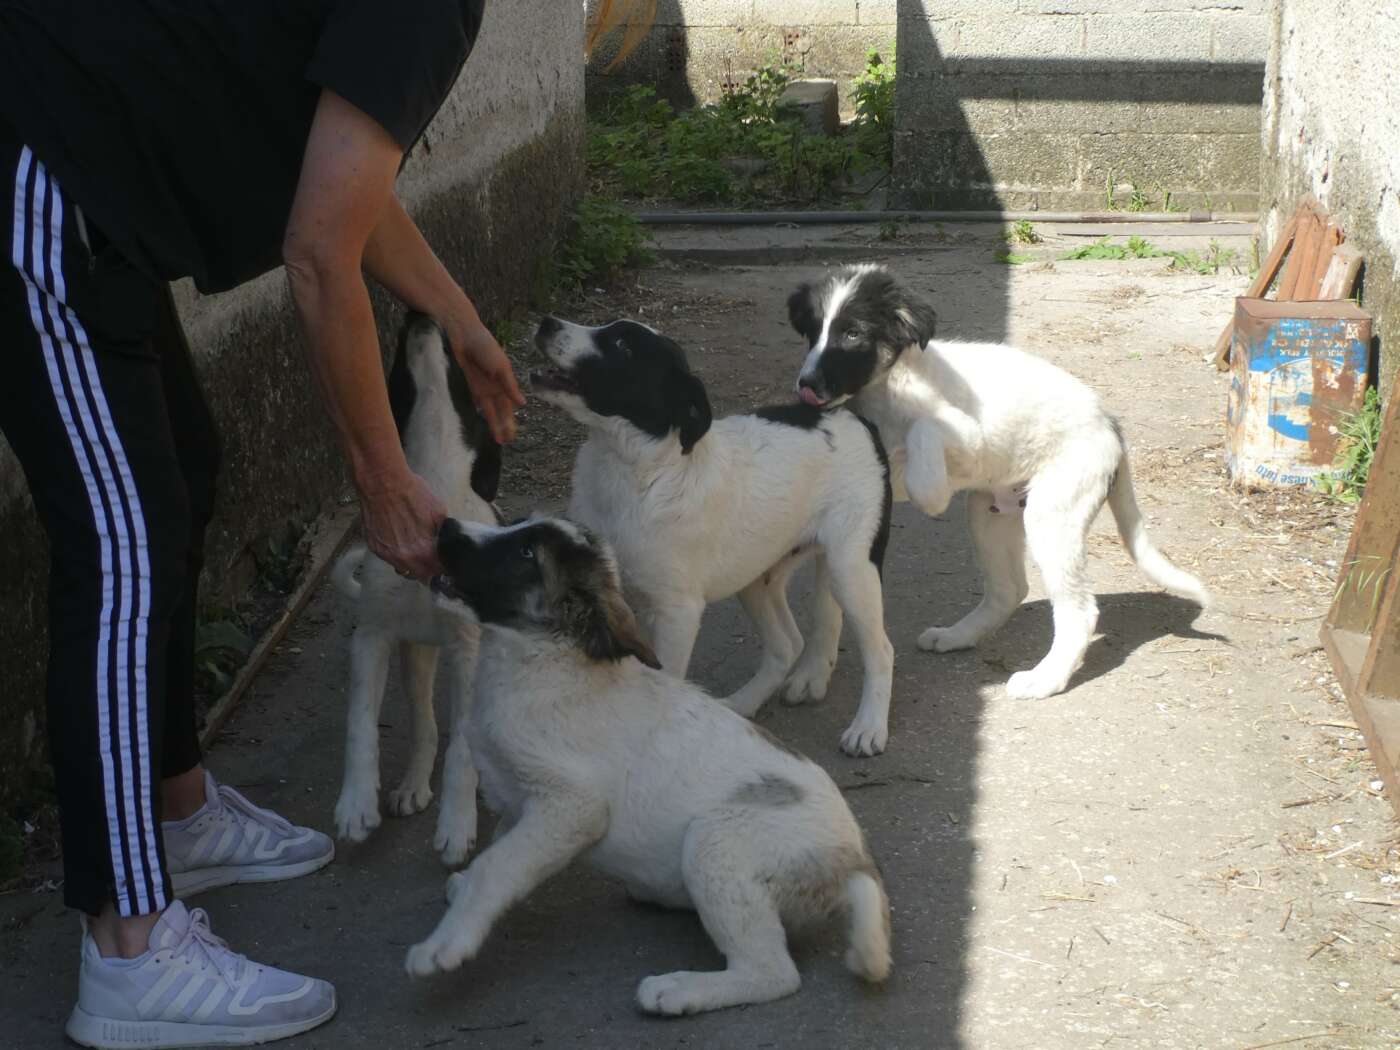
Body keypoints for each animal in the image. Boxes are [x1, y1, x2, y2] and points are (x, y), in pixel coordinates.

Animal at [331, 313, 500, 865]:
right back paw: (411, 786)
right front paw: (356, 803)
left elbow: (462, 748)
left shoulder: (469, 649)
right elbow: (359, 723)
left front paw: (457, 824)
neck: (434, 478)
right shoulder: (373, 635)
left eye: (462, 366)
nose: (419, 313)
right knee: (425, 724)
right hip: (416, 654)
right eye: (396, 364)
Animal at [404, 515, 892, 1014]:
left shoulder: (571, 808)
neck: (540, 662)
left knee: (773, 973)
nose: (445, 525)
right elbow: (501, 849)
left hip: (715, 841)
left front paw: (446, 943)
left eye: (526, 553)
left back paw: (679, 990)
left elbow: (496, 866)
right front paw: (462, 893)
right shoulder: (520, 801)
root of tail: (854, 861)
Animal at [531, 315, 898, 756]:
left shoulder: (677, 612)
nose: (547, 323)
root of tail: (853, 419)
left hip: (851, 568)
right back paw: (743, 703)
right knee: (787, 644)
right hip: (758, 575)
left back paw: (869, 727)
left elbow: (667, 681)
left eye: (623, 345)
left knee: (881, 650)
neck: (633, 471)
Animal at [787, 264, 1210, 700]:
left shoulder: (967, 432)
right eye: (812, 331)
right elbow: (825, 603)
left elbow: (925, 436)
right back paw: (957, 635)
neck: (886, 390)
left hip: (1051, 515)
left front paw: (928, 490)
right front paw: (814, 670)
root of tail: (1109, 422)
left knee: (1079, 611)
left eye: (853, 334)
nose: (805, 386)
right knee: (1010, 589)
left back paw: (1045, 679)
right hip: (988, 512)